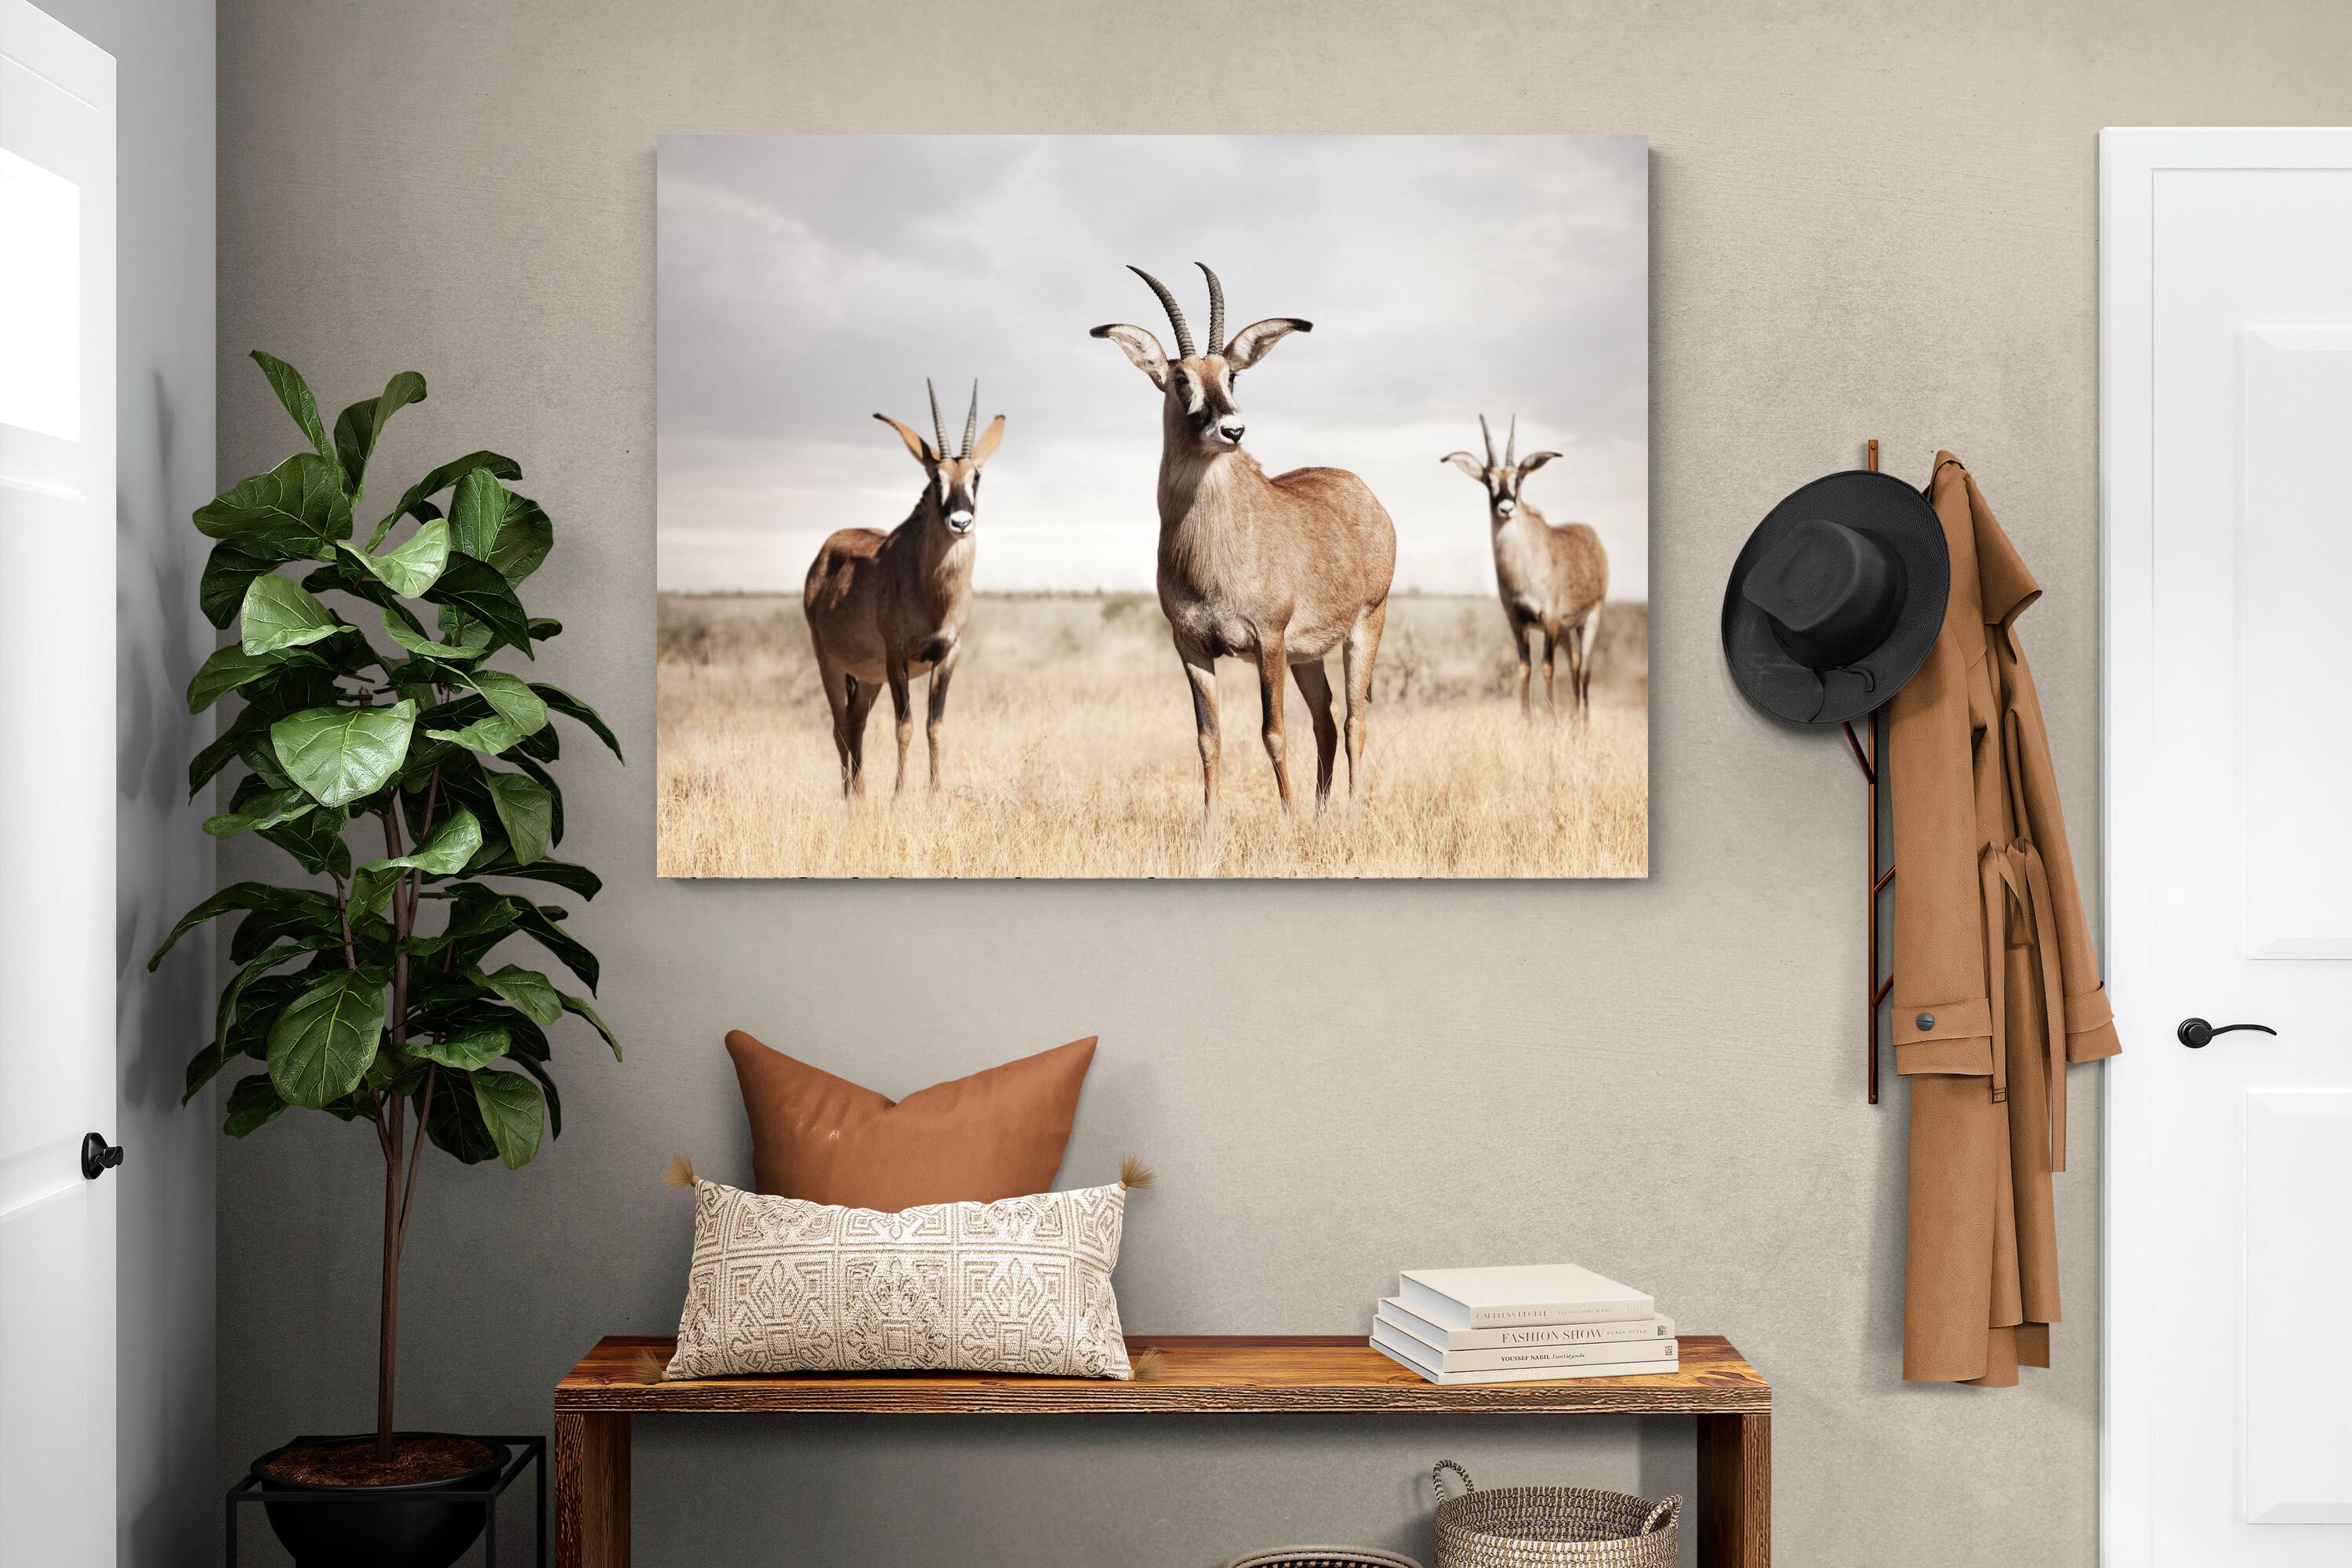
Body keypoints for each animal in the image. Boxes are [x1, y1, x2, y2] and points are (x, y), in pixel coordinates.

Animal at [803, 380, 1003, 797]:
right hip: (830, 662)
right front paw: (898, 796)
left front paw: (934, 794)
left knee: (856, 721)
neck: (932, 591)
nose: (961, 522)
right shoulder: (897, 655)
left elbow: (934, 725)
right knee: (840, 725)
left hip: (868, 677)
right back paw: (851, 799)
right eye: (935, 478)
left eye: (976, 476)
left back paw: (861, 795)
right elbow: (906, 726)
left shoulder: (948, 654)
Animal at [1091, 264, 1396, 819]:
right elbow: (1207, 738)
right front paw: (1211, 825)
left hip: (1364, 626)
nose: (1232, 430)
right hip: (1306, 655)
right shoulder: (1191, 646)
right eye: (1181, 379)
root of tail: (1366, 495)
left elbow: (1272, 733)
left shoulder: (1267, 640)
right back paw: (1322, 814)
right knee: (1325, 721)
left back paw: (1350, 812)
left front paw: (1288, 820)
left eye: (1231, 375)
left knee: (1353, 720)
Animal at [1442, 415, 1608, 722]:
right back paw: (1575, 720)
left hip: (1590, 618)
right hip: (1566, 631)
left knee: (1584, 668)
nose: (1507, 509)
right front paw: (1527, 722)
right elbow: (1524, 666)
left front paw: (1552, 721)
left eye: (1518, 478)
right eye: (1488, 481)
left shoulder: (1550, 619)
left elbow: (1547, 666)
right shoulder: (1517, 621)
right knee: (1575, 663)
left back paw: (1583, 723)